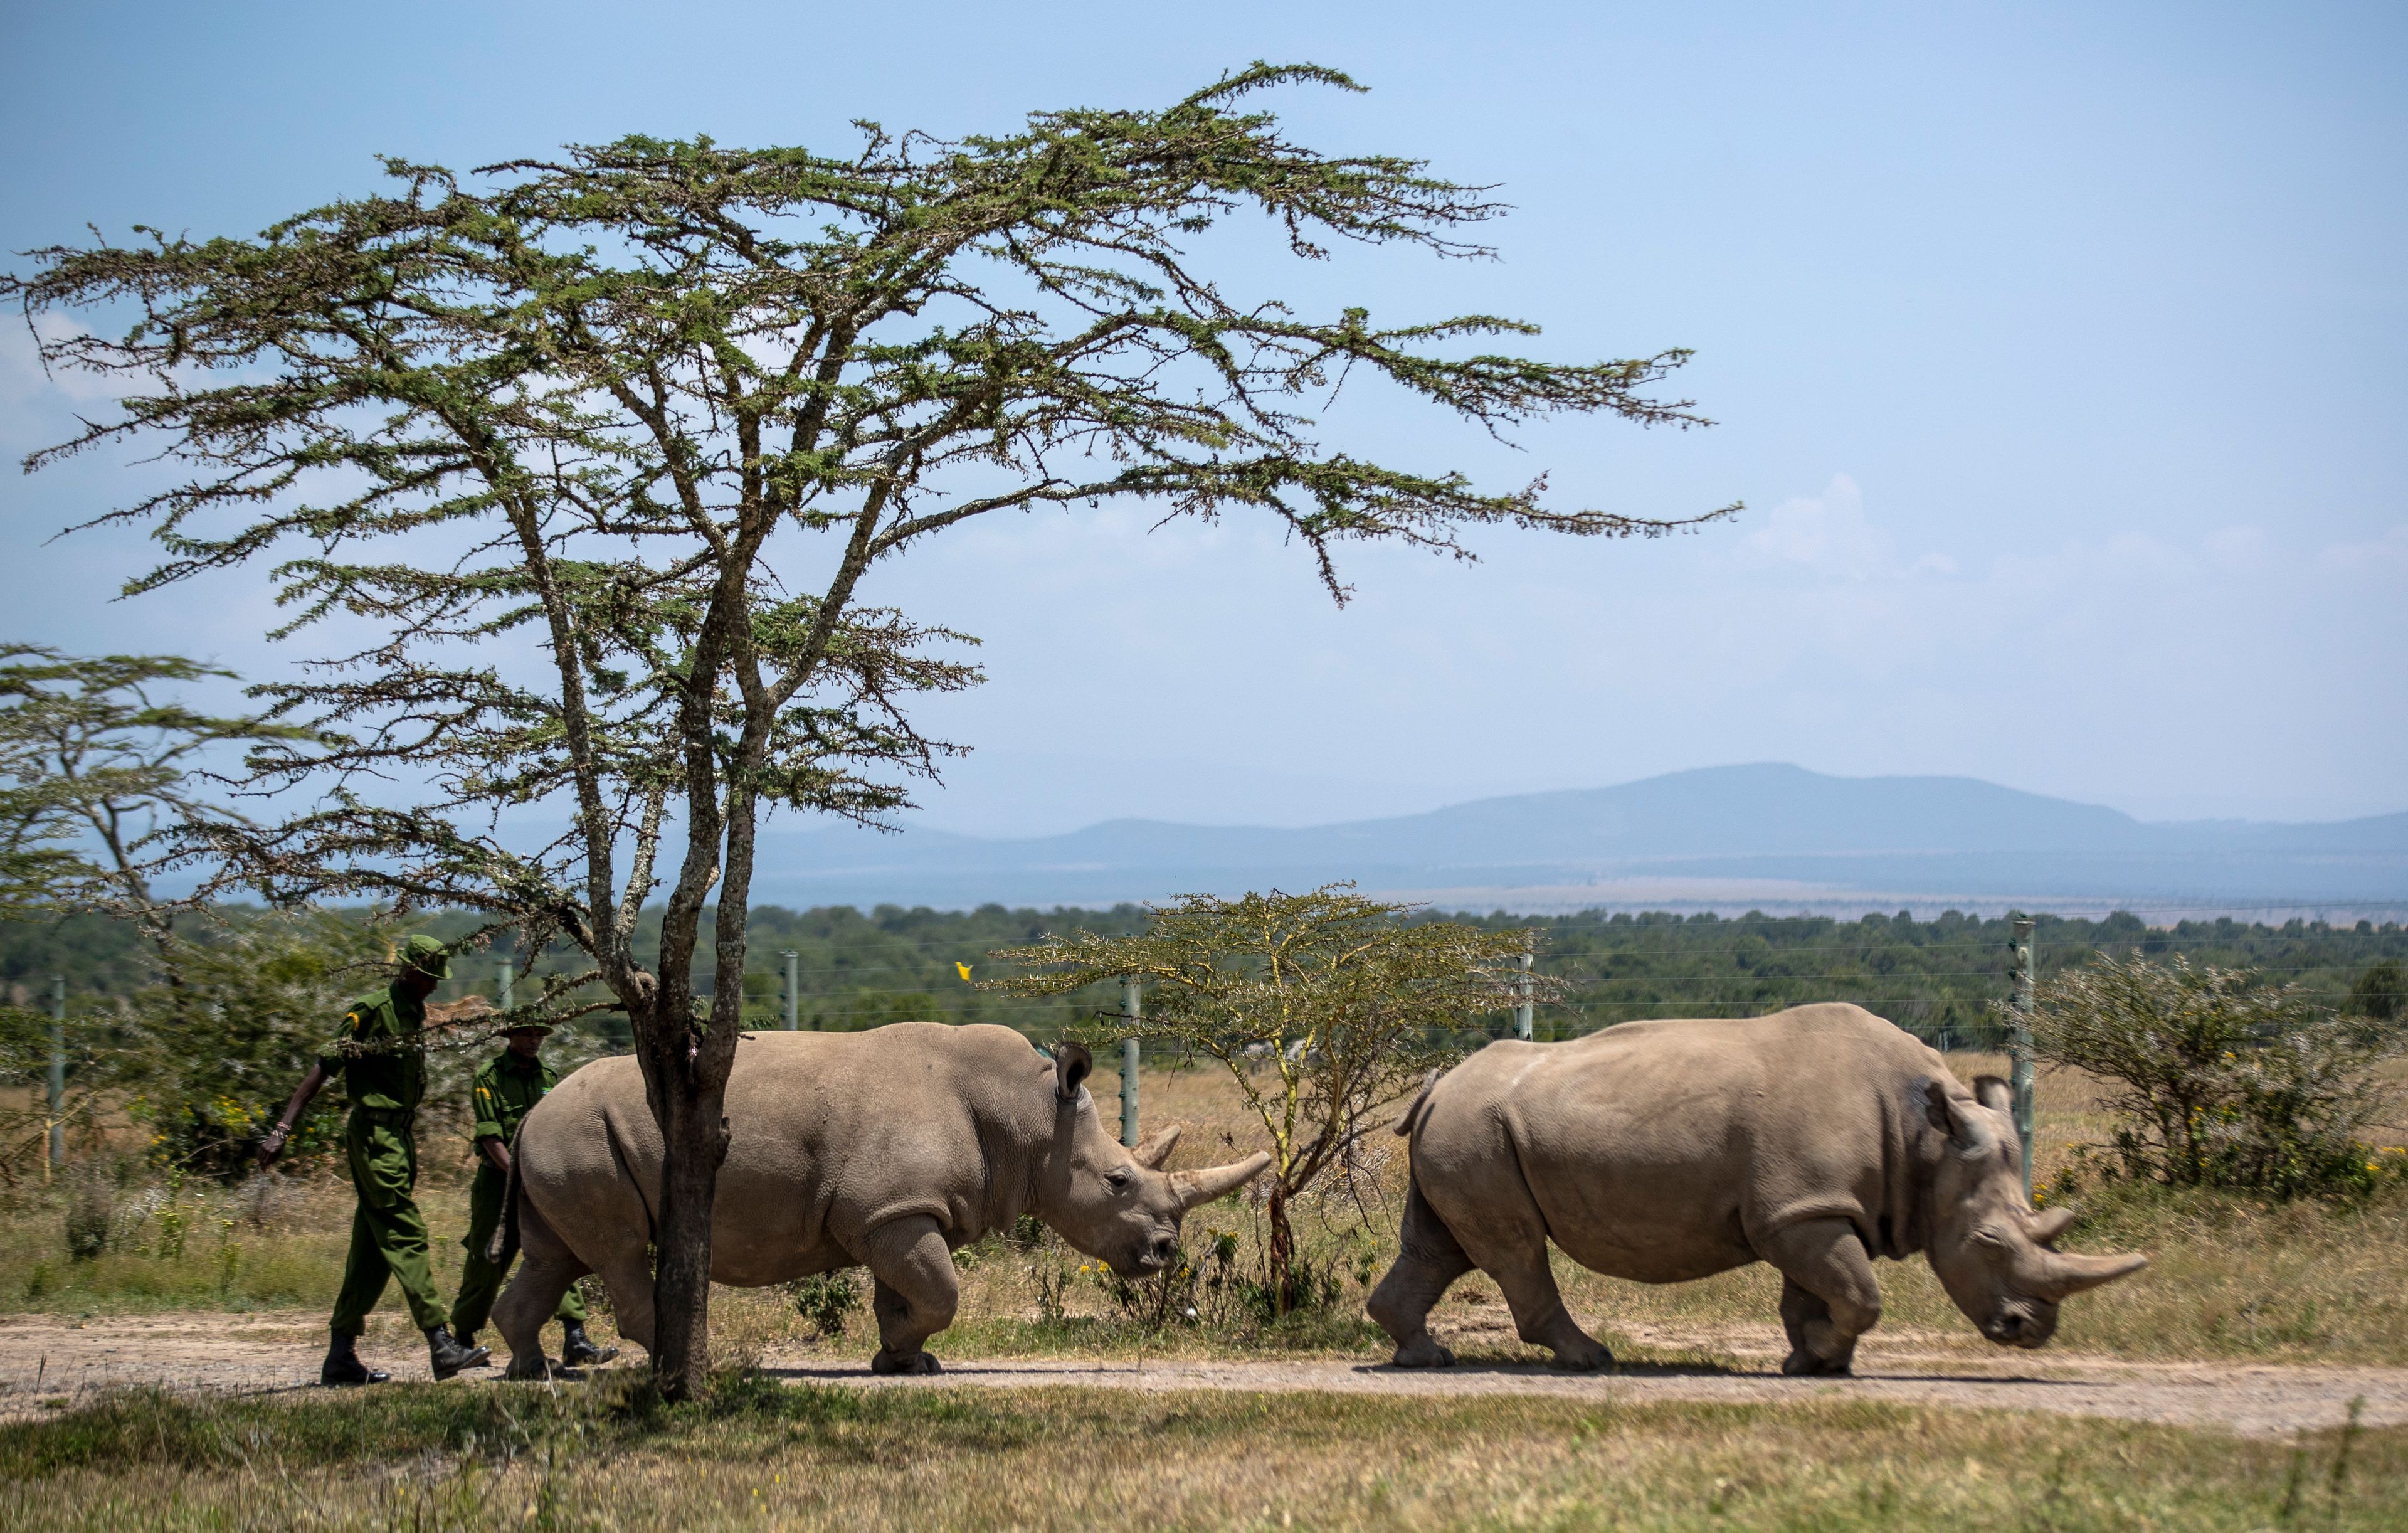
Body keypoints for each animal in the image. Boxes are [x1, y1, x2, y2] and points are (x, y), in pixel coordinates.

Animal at [496, 1031, 1271, 1379]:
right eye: (1117, 1181)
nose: (1165, 1253)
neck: (1028, 1116)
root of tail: (530, 1111)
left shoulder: (897, 1210)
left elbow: (908, 1293)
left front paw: (902, 1362)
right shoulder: (892, 1210)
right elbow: (943, 1292)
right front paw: (903, 1356)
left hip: (565, 1138)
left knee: (552, 1257)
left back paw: (532, 1370)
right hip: (581, 1136)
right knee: (620, 1250)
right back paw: (692, 1367)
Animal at [1377, 1007, 2148, 1379]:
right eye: (1989, 1243)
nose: (2029, 1330)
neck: (1927, 1141)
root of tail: (1438, 1085)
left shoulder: (1809, 1207)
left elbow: (1815, 1294)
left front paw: (1814, 1362)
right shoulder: (1804, 1209)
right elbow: (1860, 1294)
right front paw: (1824, 1357)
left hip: (1469, 1128)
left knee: (1443, 1248)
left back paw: (1425, 1357)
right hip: (1478, 1129)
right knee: (1515, 1249)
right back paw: (1591, 1360)